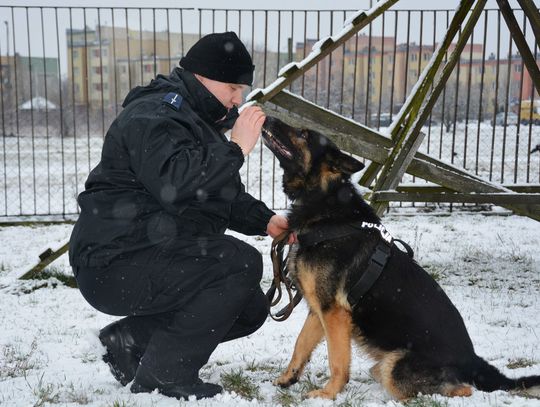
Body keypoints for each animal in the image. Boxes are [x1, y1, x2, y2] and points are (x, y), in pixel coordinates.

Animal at [260, 115, 536, 402]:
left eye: (303, 134)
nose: (268, 117)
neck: (324, 202)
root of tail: (472, 359)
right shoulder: (319, 309)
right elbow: (301, 344)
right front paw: (288, 378)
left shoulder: (334, 313)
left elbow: (337, 360)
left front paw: (329, 393)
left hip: (394, 368)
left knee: (460, 389)